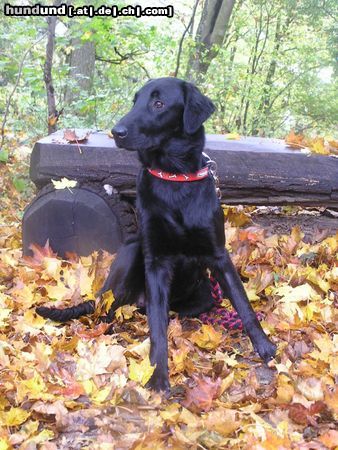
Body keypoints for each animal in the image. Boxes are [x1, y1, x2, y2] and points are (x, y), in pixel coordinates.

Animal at [37, 78, 276, 394]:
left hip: (202, 297)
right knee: (108, 310)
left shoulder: (218, 255)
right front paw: (158, 375)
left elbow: (243, 304)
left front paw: (264, 346)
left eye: (158, 103)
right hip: (130, 255)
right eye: (135, 101)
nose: (116, 132)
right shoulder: (157, 261)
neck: (175, 179)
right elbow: (158, 328)